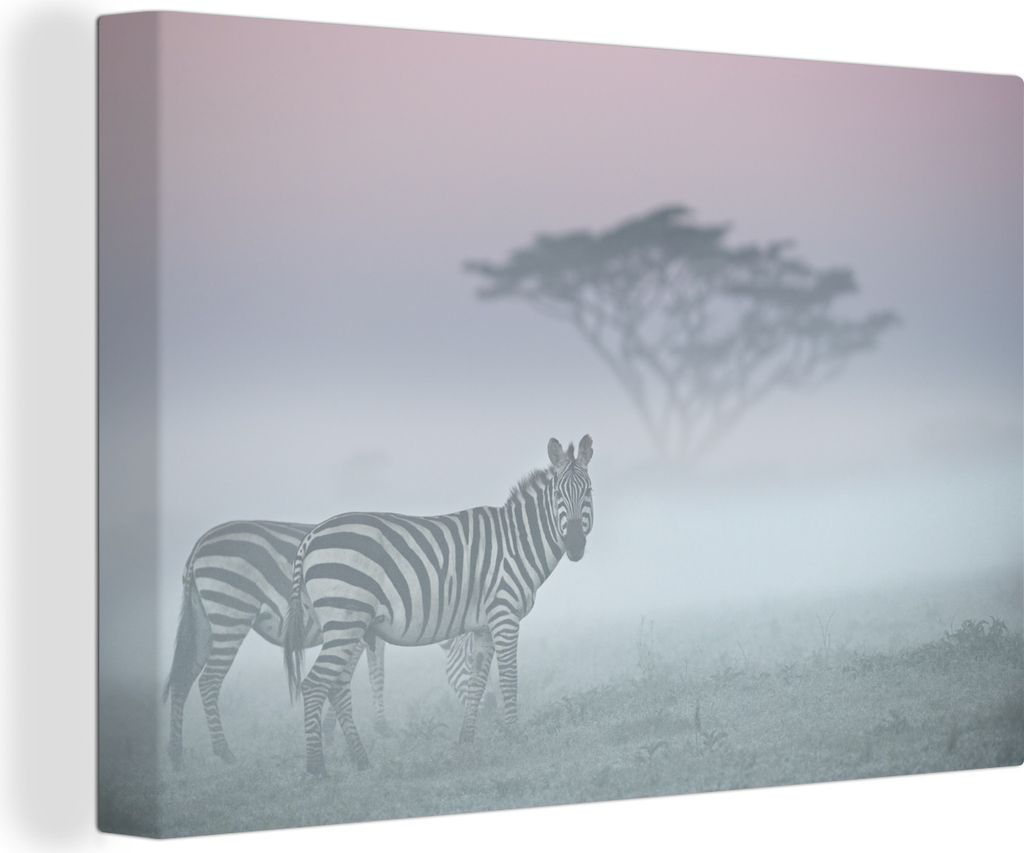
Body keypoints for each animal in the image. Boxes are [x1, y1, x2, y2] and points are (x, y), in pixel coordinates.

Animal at [163, 520, 480, 769]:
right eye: (468, 663)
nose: (486, 706)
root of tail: (199, 544)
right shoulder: (357, 627)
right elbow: (364, 675)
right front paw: (345, 730)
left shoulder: (366, 630)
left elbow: (370, 673)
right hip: (231, 612)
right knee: (209, 681)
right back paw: (224, 752)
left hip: (203, 621)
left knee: (182, 679)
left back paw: (177, 755)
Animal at [284, 435, 594, 775]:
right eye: (557, 494)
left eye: (588, 492)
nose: (575, 546)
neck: (517, 542)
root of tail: (311, 536)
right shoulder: (504, 613)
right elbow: (509, 678)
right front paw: (515, 738)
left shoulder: (484, 625)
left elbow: (477, 681)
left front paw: (466, 741)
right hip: (345, 618)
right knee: (314, 685)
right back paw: (317, 768)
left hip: (345, 624)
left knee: (336, 685)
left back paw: (361, 760)